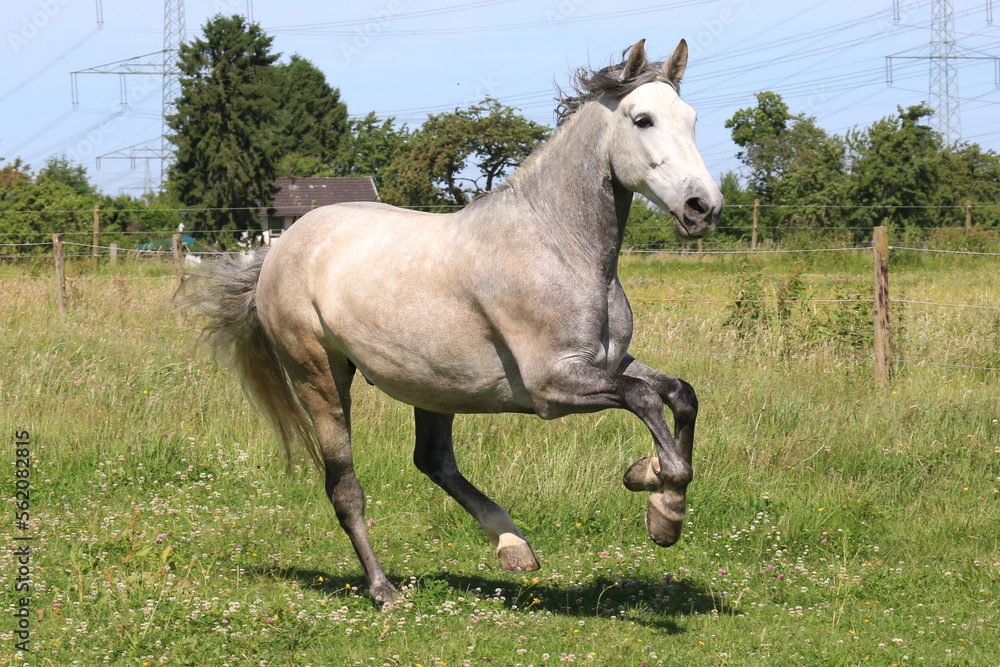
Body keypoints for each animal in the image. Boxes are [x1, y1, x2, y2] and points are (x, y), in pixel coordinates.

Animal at [179, 38, 723, 609]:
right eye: (642, 120)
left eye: (691, 118)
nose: (703, 207)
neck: (558, 246)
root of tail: (281, 249)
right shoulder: (553, 387)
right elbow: (644, 400)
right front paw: (663, 505)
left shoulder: (610, 362)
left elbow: (680, 394)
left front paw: (649, 484)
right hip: (320, 378)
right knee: (345, 487)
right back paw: (384, 589)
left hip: (433, 385)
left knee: (433, 461)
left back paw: (512, 545)